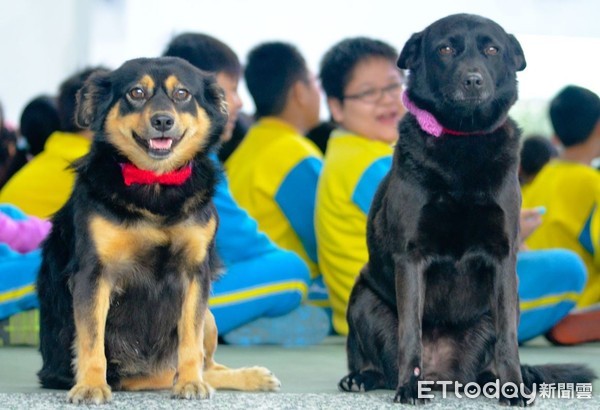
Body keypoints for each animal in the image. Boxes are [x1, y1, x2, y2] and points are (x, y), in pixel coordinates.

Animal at [36, 57, 280, 404]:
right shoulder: (93, 274)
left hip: (209, 316)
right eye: (136, 93)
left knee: (207, 365)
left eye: (182, 94)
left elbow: (189, 341)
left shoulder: (195, 272)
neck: (155, 184)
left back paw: (247, 377)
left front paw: (190, 383)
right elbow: (91, 340)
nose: (163, 120)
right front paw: (91, 385)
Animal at [338, 13, 596, 406]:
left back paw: (494, 380)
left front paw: (513, 388)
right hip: (363, 299)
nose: (472, 79)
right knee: (374, 361)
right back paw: (363, 377)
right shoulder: (411, 257)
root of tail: (442, 377)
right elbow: (410, 333)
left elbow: (508, 341)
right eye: (445, 49)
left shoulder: (503, 258)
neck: (463, 139)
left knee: (493, 354)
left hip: (505, 305)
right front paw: (408, 387)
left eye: (492, 49)